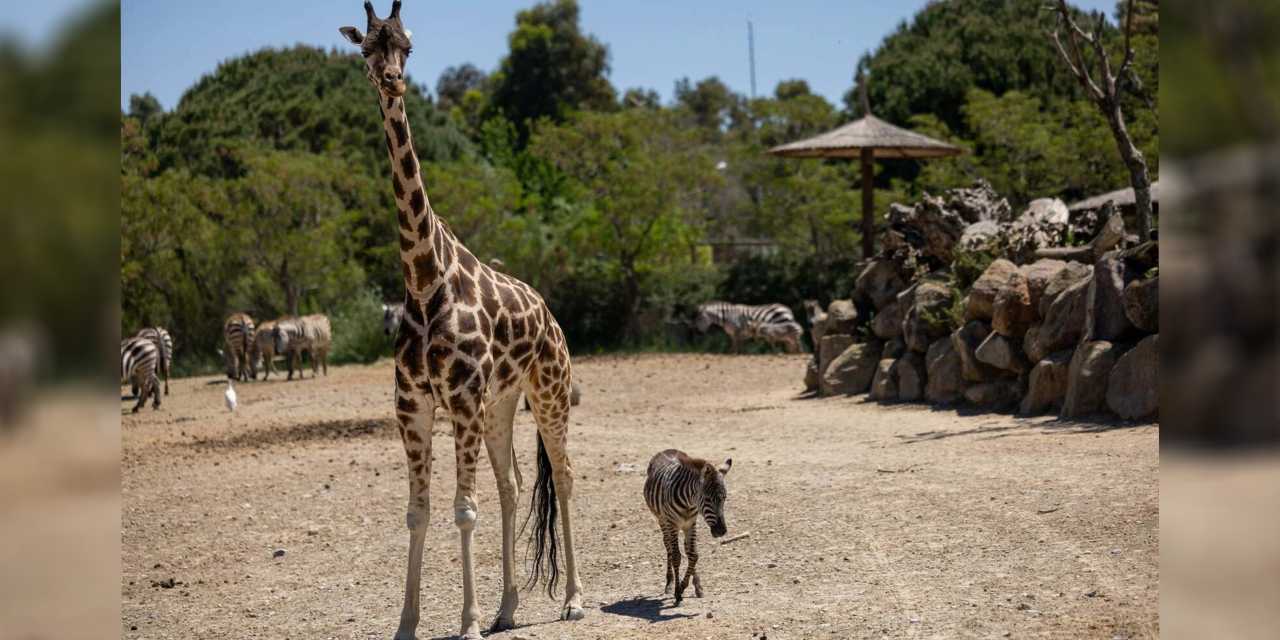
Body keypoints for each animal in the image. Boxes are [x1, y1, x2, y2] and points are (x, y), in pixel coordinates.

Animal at [642, 449, 732, 603]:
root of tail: (667, 450)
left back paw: (696, 585)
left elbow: (693, 555)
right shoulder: (672, 524)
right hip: (662, 520)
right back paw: (669, 583)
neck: (689, 502)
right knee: (668, 546)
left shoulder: (691, 523)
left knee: (687, 550)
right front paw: (678, 592)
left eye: (724, 498)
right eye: (707, 498)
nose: (721, 531)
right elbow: (676, 557)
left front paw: (687, 586)